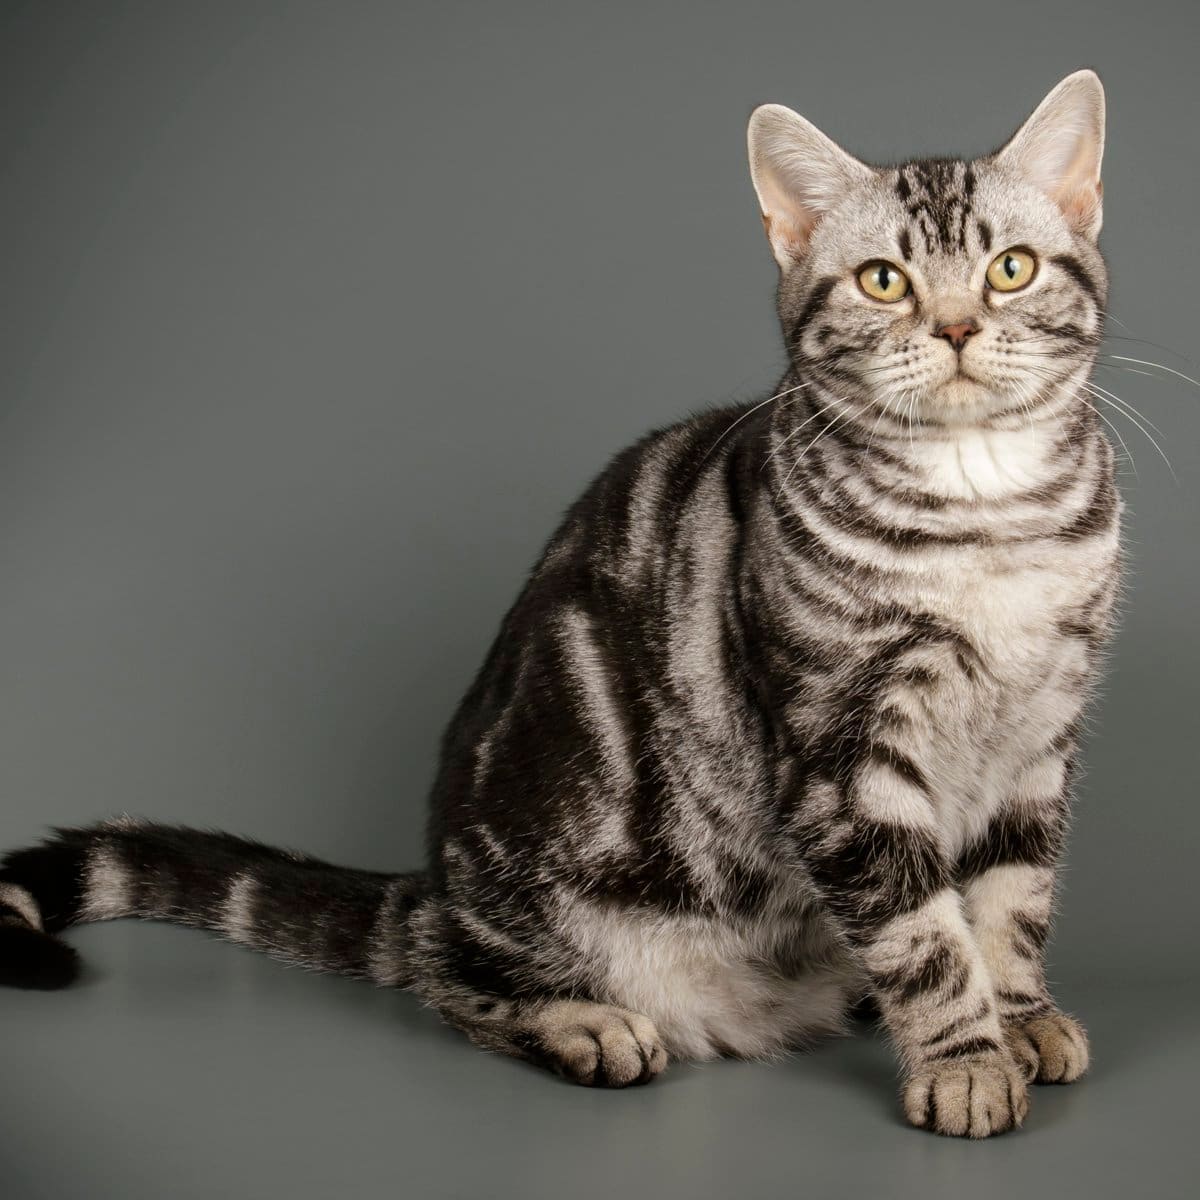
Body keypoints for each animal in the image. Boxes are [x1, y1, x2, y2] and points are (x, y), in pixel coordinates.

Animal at [0, 70, 1113, 1137]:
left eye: (1011, 268)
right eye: (885, 279)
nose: (958, 325)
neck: (987, 517)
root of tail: (437, 887)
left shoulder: (1040, 737)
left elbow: (1010, 904)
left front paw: (1020, 1023)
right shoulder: (846, 759)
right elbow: (924, 938)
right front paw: (966, 1063)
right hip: (536, 900)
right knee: (450, 979)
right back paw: (587, 1025)